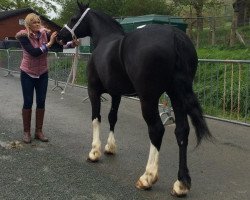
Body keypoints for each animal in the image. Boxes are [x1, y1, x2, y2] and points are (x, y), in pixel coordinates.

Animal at [57, 1, 212, 197]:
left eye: (73, 18)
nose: (60, 36)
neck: (105, 41)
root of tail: (174, 35)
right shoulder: (116, 94)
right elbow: (112, 118)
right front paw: (110, 147)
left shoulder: (93, 91)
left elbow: (96, 118)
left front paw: (94, 152)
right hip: (177, 95)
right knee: (182, 131)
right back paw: (181, 184)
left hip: (148, 98)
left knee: (156, 129)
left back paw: (147, 177)